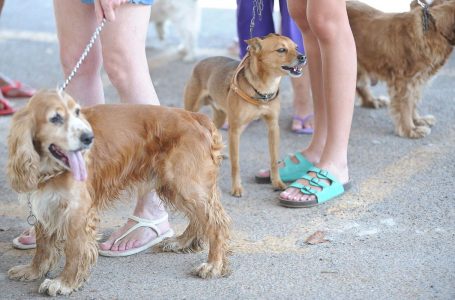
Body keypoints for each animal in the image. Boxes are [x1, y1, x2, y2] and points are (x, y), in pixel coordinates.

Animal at [8, 89, 232, 296]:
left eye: (77, 112)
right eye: (55, 118)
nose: (89, 138)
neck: (50, 168)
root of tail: (196, 117)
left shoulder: (77, 211)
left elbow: (74, 250)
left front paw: (64, 282)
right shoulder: (46, 204)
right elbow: (43, 246)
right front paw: (32, 270)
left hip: (185, 183)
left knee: (217, 223)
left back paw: (213, 265)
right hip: (175, 185)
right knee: (200, 218)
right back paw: (182, 242)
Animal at [184, 33, 306, 197]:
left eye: (296, 47)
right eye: (281, 50)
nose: (303, 56)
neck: (263, 89)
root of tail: (201, 62)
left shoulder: (273, 127)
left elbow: (274, 160)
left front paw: (277, 182)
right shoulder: (235, 131)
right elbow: (236, 164)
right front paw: (236, 188)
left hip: (220, 117)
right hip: (192, 110)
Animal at [348, 0, 455, 138]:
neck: (431, 31)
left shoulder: (417, 80)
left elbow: (413, 102)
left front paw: (418, 120)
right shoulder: (404, 81)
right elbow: (405, 105)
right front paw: (410, 129)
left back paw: (372, 101)